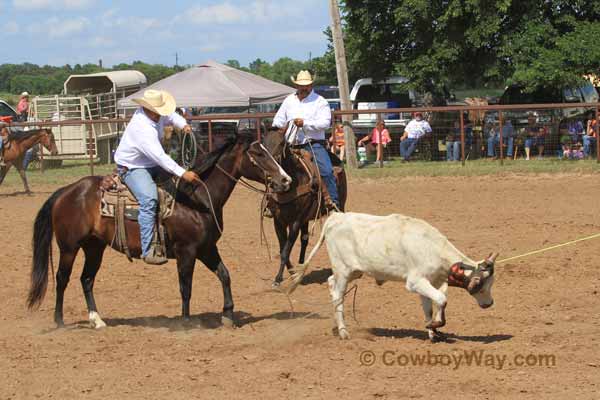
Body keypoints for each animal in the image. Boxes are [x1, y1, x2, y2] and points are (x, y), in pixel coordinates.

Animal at [27, 133, 292, 330]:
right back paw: (59, 320)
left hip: (94, 247)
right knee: (62, 278)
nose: (286, 180)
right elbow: (186, 286)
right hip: (69, 248)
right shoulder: (187, 251)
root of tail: (66, 191)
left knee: (86, 279)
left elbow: (225, 275)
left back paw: (97, 320)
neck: (197, 199)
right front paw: (186, 321)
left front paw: (227, 315)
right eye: (259, 154)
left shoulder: (206, 249)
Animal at [253, 126, 346, 286]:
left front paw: (278, 278)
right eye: (264, 143)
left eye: (282, 143)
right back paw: (301, 266)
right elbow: (283, 249)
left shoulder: (296, 221)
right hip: (305, 219)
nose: (275, 179)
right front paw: (291, 273)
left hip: (340, 205)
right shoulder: (279, 221)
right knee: (304, 239)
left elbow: (286, 250)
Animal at [284, 212, 496, 340]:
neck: (431, 246)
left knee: (330, 283)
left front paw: (432, 330)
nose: (490, 303)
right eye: (482, 284)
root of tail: (336, 217)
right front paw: (435, 324)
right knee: (338, 294)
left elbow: (431, 305)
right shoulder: (415, 281)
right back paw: (344, 331)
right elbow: (441, 299)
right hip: (343, 270)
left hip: (354, 271)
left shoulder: (428, 282)